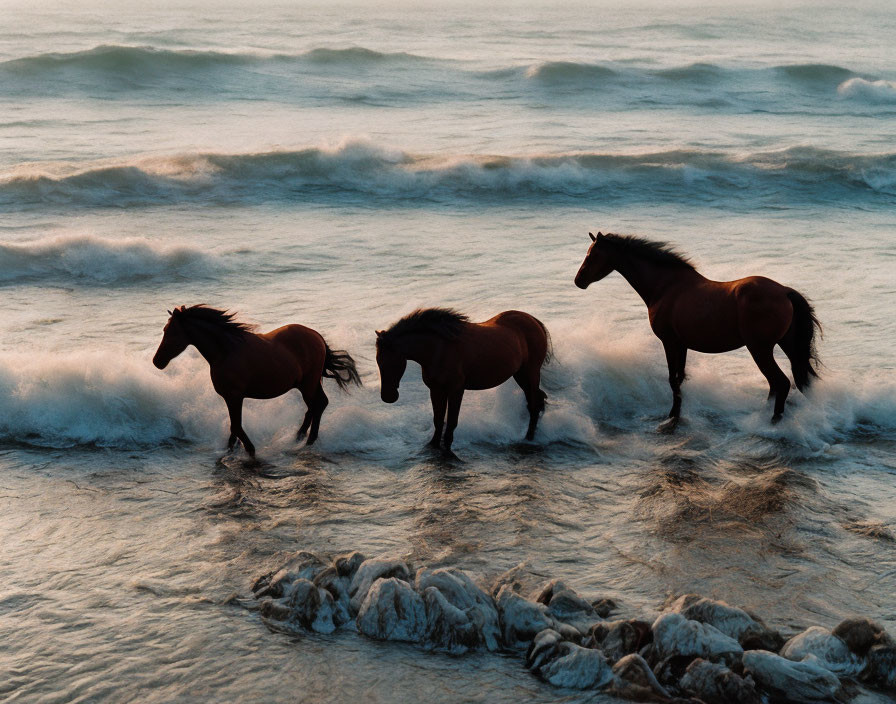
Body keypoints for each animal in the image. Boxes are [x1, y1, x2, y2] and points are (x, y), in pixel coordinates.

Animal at [154, 306, 360, 454]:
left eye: (170, 331)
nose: (157, 361)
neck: (225, 352)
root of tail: (316, 335)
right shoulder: (231, 398)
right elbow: (233, 428)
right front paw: (232, 450)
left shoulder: (234, 396)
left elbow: (236, 426)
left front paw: (250, 449)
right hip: (306, 384)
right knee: (315, 406)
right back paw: (299, 438)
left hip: (308, 383)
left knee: (317, 405)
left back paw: (308, 441)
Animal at [372, 310, 552, 454]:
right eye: (378, 361)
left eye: (391, 362)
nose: (388, 397)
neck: (438, 350)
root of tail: (533, 320)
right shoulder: (436, 389)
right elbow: (438, 420)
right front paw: (433, 445)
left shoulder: (456, 390)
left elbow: (451, 421)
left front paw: (447, 447)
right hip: (520, 375)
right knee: (535, 401)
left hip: (531, 373)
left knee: (534, 404)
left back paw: (529, 438)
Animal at [576, 232, 824, 424]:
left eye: (592, 255)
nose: (579, 281)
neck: (665, 287)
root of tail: (784, 291)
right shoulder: (682, 345)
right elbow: (680, 379)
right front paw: (676, 414)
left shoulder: (669, 342)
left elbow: (672, 380)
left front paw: (672, 416)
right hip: (786, 346)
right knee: (785, 383)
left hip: (760, 349)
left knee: (780, 383)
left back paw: (771, 422)